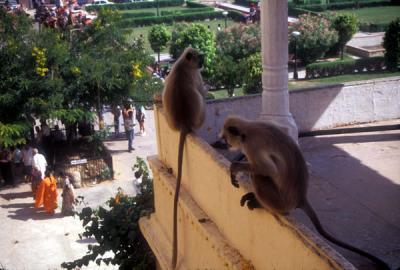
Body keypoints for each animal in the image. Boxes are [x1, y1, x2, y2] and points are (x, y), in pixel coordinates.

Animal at [220, 115, 390, 270]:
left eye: (225, 138)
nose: (224, 144)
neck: (248, 130)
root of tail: (300, 198)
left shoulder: (252, 145)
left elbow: (268, 169)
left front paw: (235, 168)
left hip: (279, 200)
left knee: (259, 176)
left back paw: (263, 205)